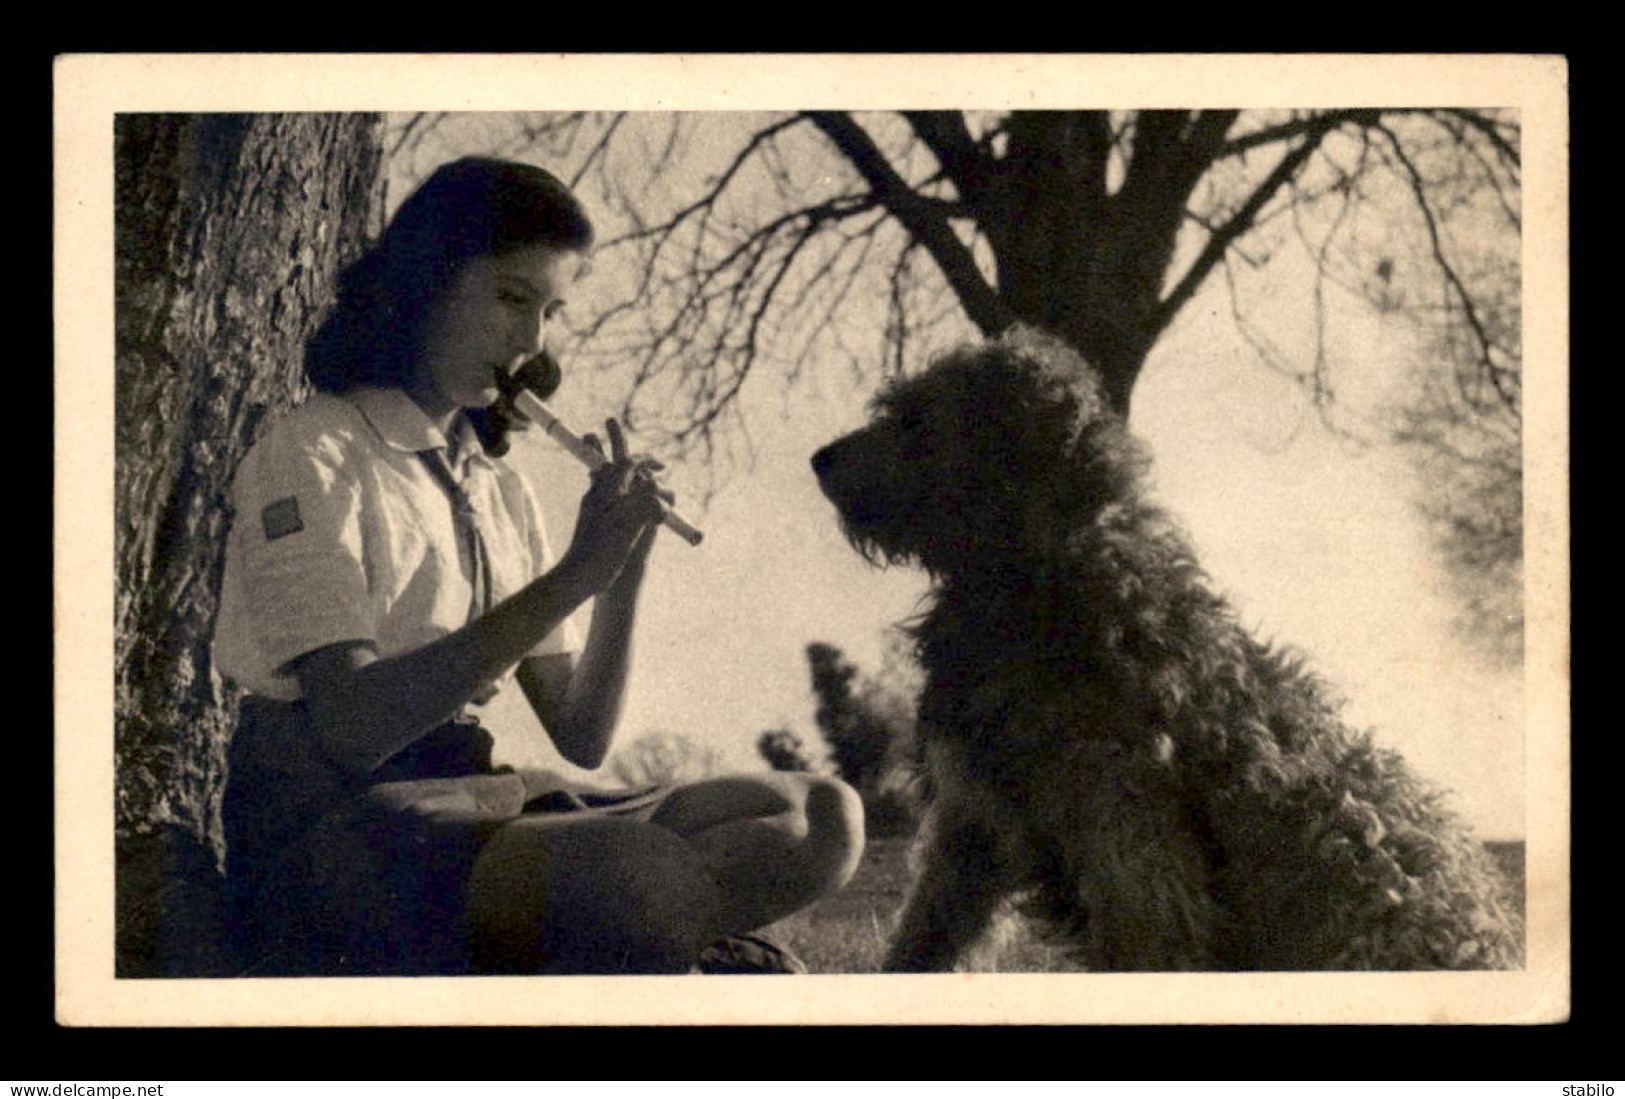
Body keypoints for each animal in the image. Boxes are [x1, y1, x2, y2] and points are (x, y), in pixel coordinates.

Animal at [812, 326, 1521, 968]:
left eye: (916, 417)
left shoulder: (1134, 849)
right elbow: (921, 942)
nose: (819, 459)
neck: (1042, 577)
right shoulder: (972, 831)